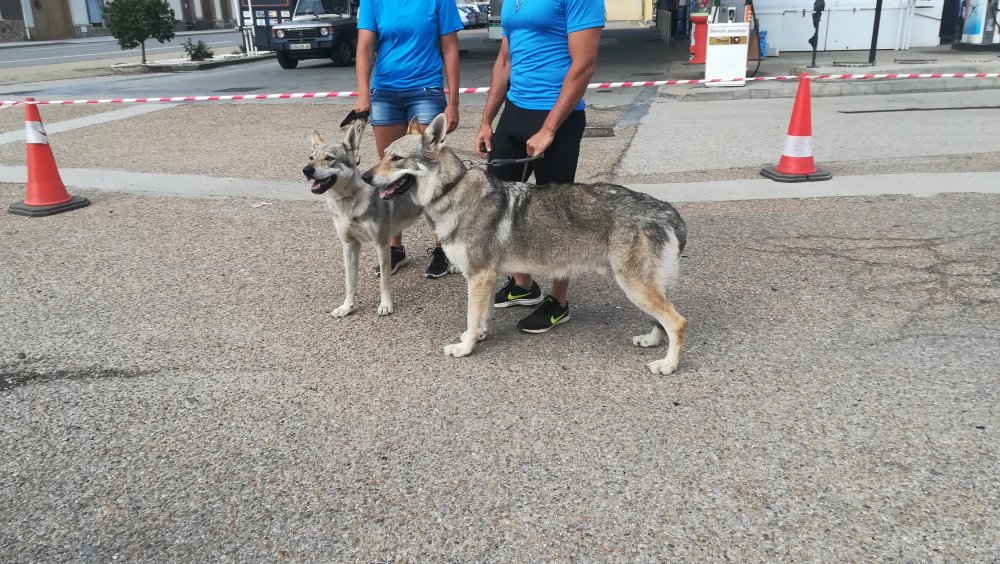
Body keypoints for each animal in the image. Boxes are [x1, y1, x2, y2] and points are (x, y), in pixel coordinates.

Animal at [303, 122, 423, 317]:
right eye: (311, 158)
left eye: (329, 158)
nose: (306, 170)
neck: (347, 203)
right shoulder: (349, 245)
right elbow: (350, 283)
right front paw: (347, 307)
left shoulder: (381, 245)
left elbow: (384, 282)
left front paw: (385, 305)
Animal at [362, 114, 689, 375]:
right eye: (384, 154)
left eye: (396, 159)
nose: (364, 176)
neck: (452, 191)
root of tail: (666, 210)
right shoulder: (487, 277)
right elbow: (482, 316)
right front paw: (477, 336)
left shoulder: (478, 276)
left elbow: (471, 316)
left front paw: (465, 348)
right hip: (641, 286)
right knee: (662, 321)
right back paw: (651, 341)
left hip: (635, 286)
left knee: (677, 322)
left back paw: (668, 365)